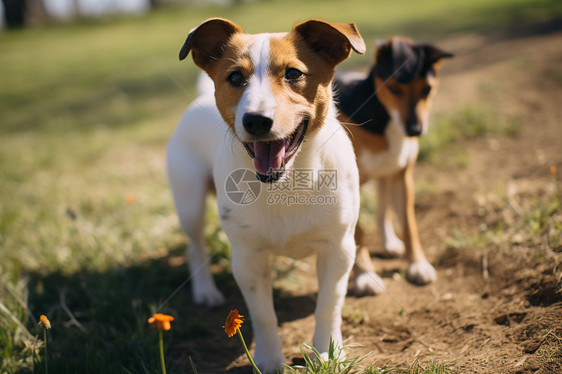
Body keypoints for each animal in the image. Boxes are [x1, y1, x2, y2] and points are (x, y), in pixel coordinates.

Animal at [167, 16, 364, 372]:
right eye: (234, 77)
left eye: (294, 73)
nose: (256, 120)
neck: (287, 182)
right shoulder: (248, 258)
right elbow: (262, 315)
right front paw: (269, 359)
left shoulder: (338, 250)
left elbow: (328, 306)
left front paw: (327, 353)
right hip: (189, 202)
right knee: (195, 246)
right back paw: (205, 291)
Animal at [332, 37, 450, 296]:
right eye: (394, 89)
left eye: (427, 89)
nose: (415, 130)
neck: (382, 119)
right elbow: (359, 233)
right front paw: (365, 276)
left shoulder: (401, 177)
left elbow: (409, 224)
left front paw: (418, 264)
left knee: (383, 209)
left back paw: (389, 243)